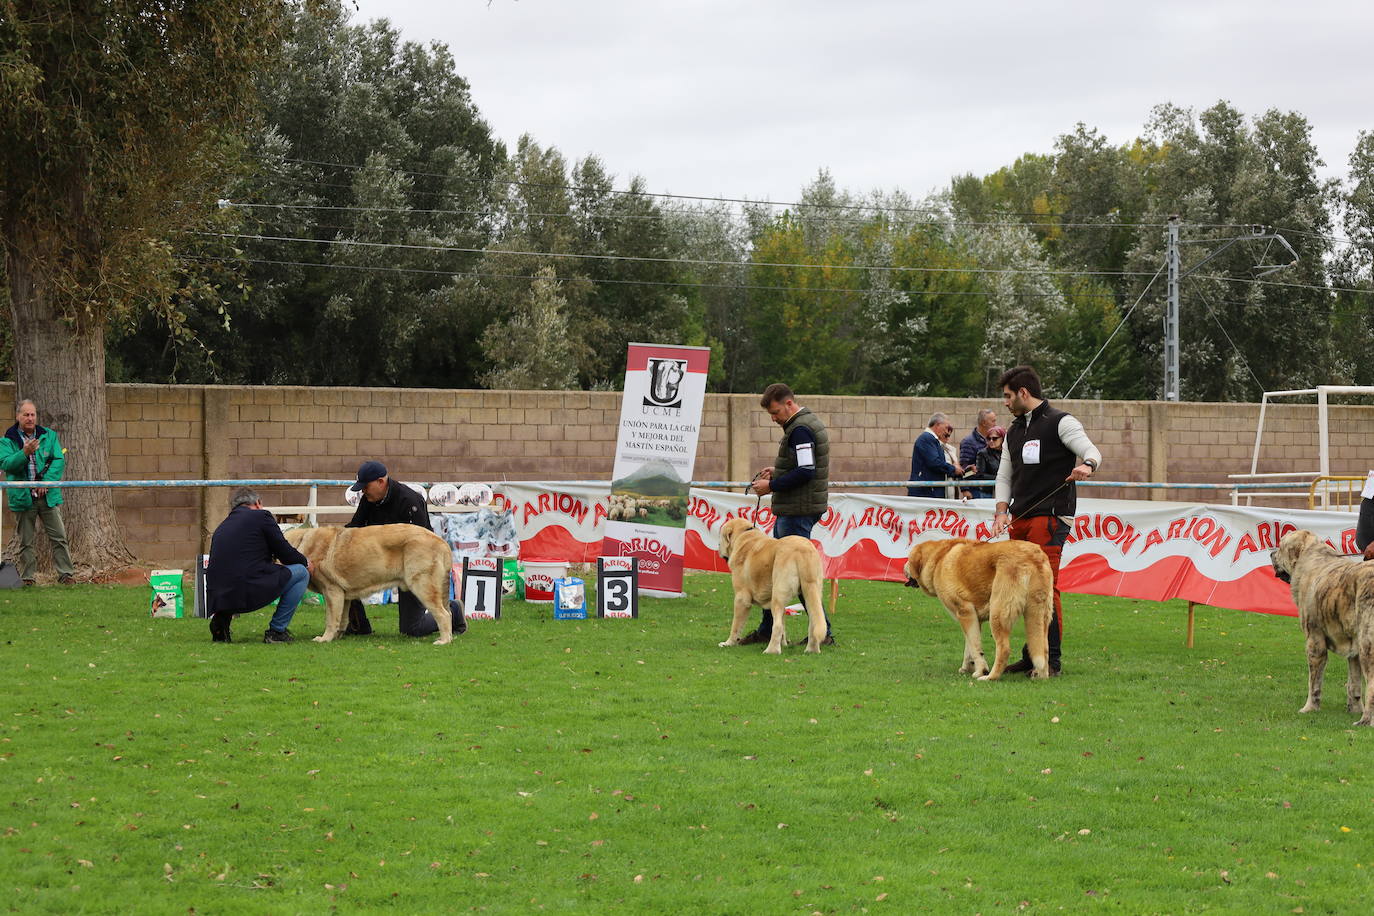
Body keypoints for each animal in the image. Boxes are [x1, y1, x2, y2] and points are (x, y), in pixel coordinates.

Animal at [284, 521, 456, 645]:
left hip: (422, 586)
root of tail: (442, 542)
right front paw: (337, 637)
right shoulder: (343, 596)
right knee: (449, 613)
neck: (301, 544)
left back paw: (444, 641)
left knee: (443, 614)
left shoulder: (332, 592)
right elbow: (342, 619)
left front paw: (325, 639)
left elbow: (331, 620)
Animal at [719, 519, 824, 656]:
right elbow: (784, 625)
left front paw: (728, 643)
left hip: (778, 594)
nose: (718, 546)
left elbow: (736, 626)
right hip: (812, 592)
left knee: (777, 625)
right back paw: (811, 650)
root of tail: (803, 549)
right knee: (813, 622)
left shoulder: (741, 599)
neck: (744, 535)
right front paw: (784, 643)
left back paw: (771, 650)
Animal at [901, 538, 1049, 681]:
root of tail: (1032, 556)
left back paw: (990, 677)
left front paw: (980, 671)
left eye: (908, 559)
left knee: (1004, 649)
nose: (903, 567)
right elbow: (969, 646)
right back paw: (1041, 676)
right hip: (1040, 616)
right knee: (1043, 649)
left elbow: (975, 647)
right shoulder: (974, 619)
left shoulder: (965, 612)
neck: (938, 560)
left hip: (997, 614)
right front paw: (966, 668)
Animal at [1264, 527, 1374, 725]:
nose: (1271, 553)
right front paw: (1354, 709)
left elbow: (1314, 682)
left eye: (1281, 545)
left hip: (1367, 644)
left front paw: (1309, 708)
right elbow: (1353, 684)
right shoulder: (1353, 648)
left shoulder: (1314, 641)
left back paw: (1365, 721)